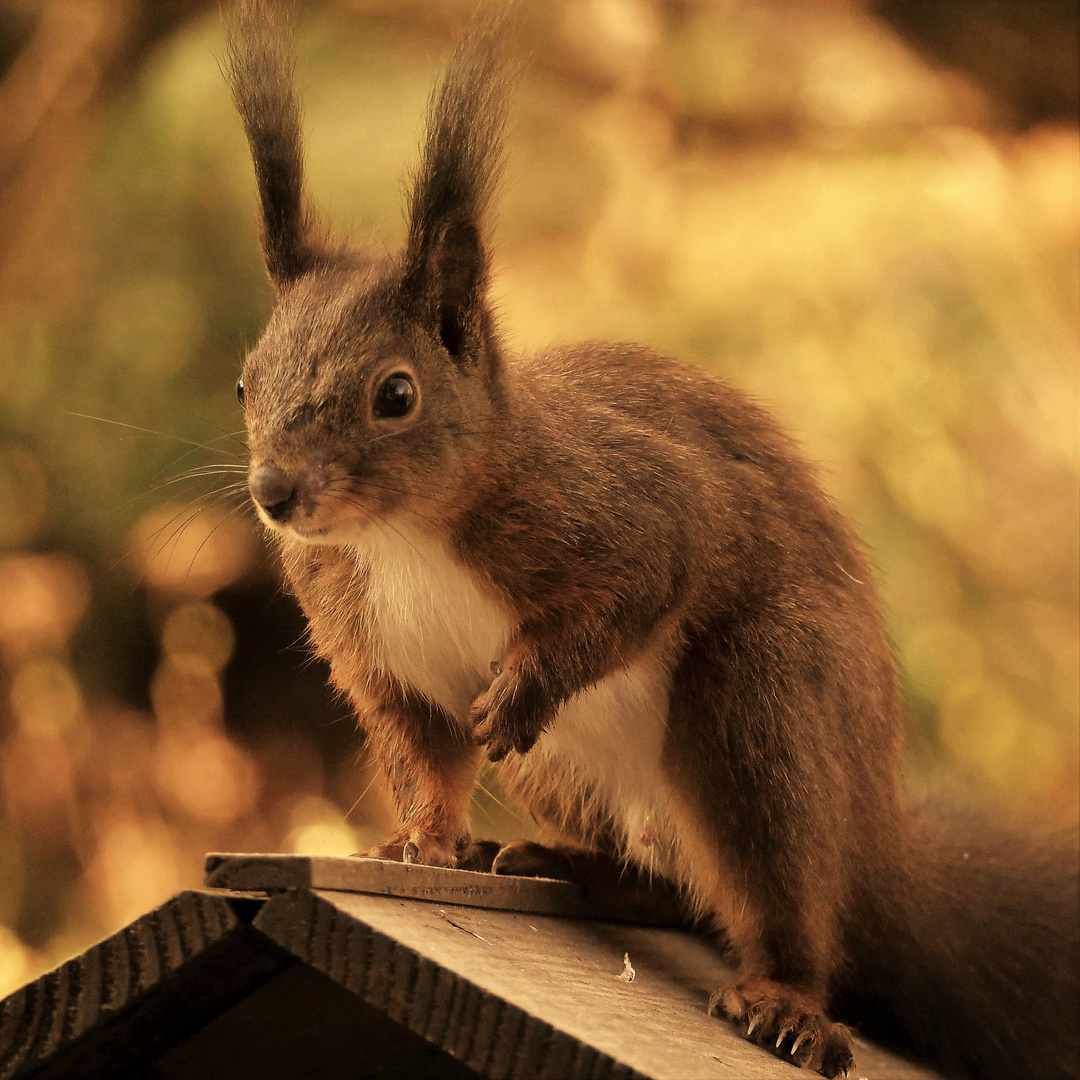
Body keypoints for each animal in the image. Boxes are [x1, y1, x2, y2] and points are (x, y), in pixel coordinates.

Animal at [223, 4, 1075, 1075]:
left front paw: (525, 688)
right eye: (245, 382)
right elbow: (423, 749)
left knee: (782, 901)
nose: (275, 493)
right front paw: (417, 844)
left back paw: (786, 1001)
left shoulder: (625, 505)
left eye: (396, 394)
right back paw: (566, 865)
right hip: (570, 772)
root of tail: (873, 834)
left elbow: (653, 575)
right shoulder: (372, 642)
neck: (403, 537)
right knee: (679, 890)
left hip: (766, 702)